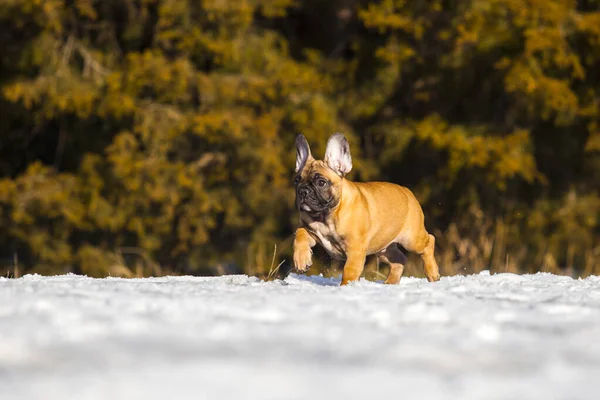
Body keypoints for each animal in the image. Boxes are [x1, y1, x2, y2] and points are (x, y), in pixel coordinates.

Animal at [294, 133, 440, 286]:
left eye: (321, 182)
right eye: (296, 181)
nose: (302, 191)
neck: (325, 216)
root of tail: (407, 192)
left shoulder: (355, 248)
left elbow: (350, 269)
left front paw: (346, 286)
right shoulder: (309, 229)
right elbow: (300, 234)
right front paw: (301, 259)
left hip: (411, 239)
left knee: (429, 242)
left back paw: (432, 273)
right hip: (383, 247)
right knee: (399, 259)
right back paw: (391, 282)